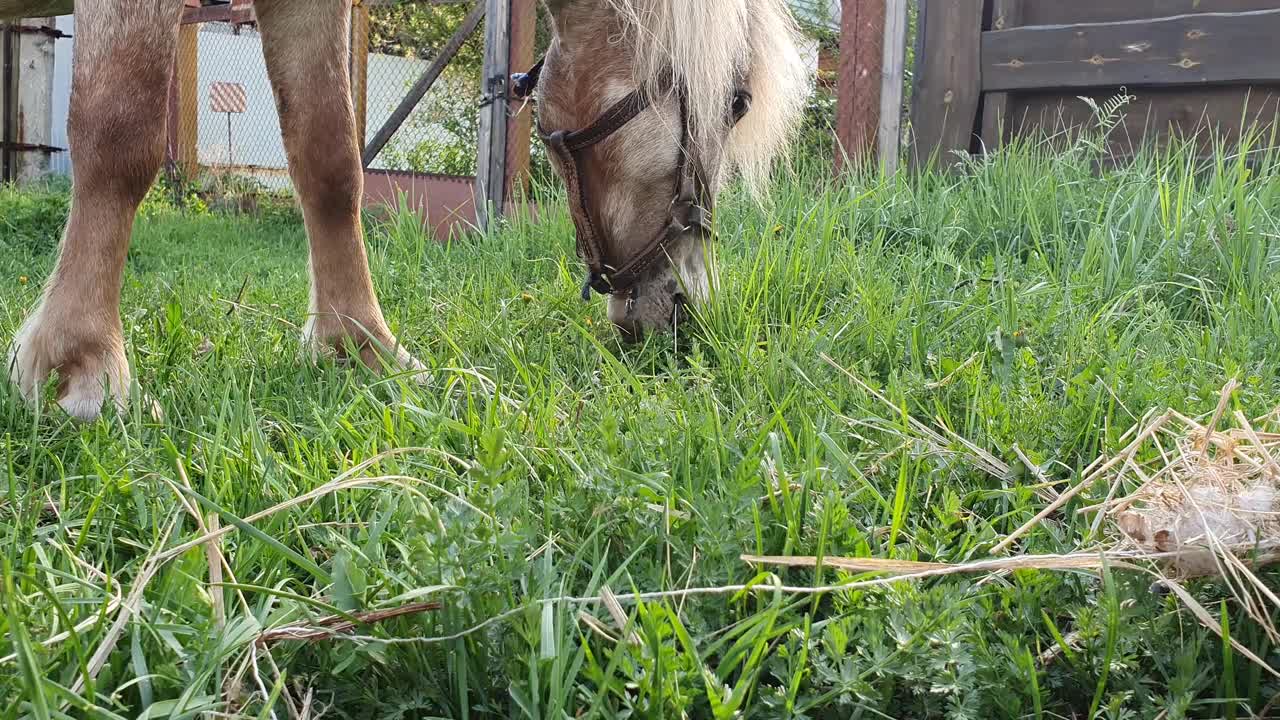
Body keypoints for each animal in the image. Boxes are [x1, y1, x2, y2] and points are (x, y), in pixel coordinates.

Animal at [5, 0, 803, 417]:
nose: (688, 314)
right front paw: (80, 360)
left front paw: (359, 346)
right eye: (738, 102)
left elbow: (330, 159)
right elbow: (119, 131)